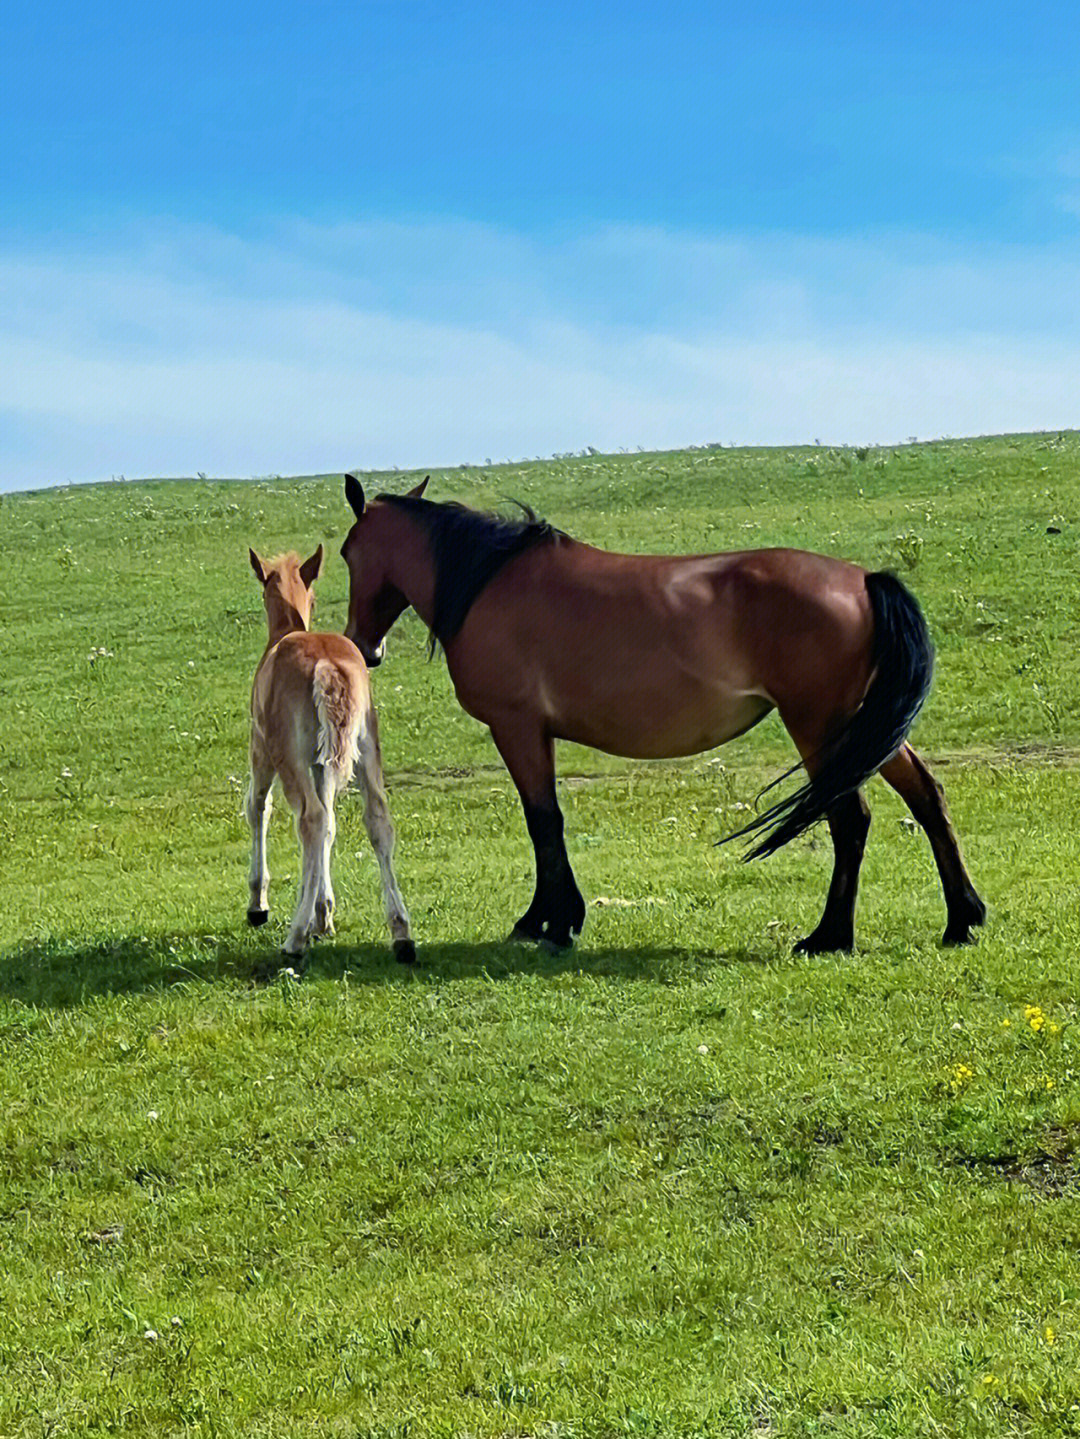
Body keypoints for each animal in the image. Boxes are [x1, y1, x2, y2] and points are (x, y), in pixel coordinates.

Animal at [247, 543, 417, 961]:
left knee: (309, 818)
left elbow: (259, 807)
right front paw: (323, 914)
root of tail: (326, 664)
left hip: (289, 757)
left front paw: (259, 904)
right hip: (366, 749)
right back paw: (402, 934)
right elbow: (332, 827)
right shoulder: (323, 764)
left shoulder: (261, 748)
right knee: (377, 821)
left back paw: (294, 939)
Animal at [342, 477, 983, 955]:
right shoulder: (534, 733)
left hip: (820, 728)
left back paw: (830, 936)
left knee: (849, 818)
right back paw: (962, 920)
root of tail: (864, 579)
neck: (488, 582)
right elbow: (548, 822)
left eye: (347, 553)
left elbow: (542, 821)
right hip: (866, 730)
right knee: (926, 797)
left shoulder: (516, 727)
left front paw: (548, 923)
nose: (365, 648)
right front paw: (555, 919)